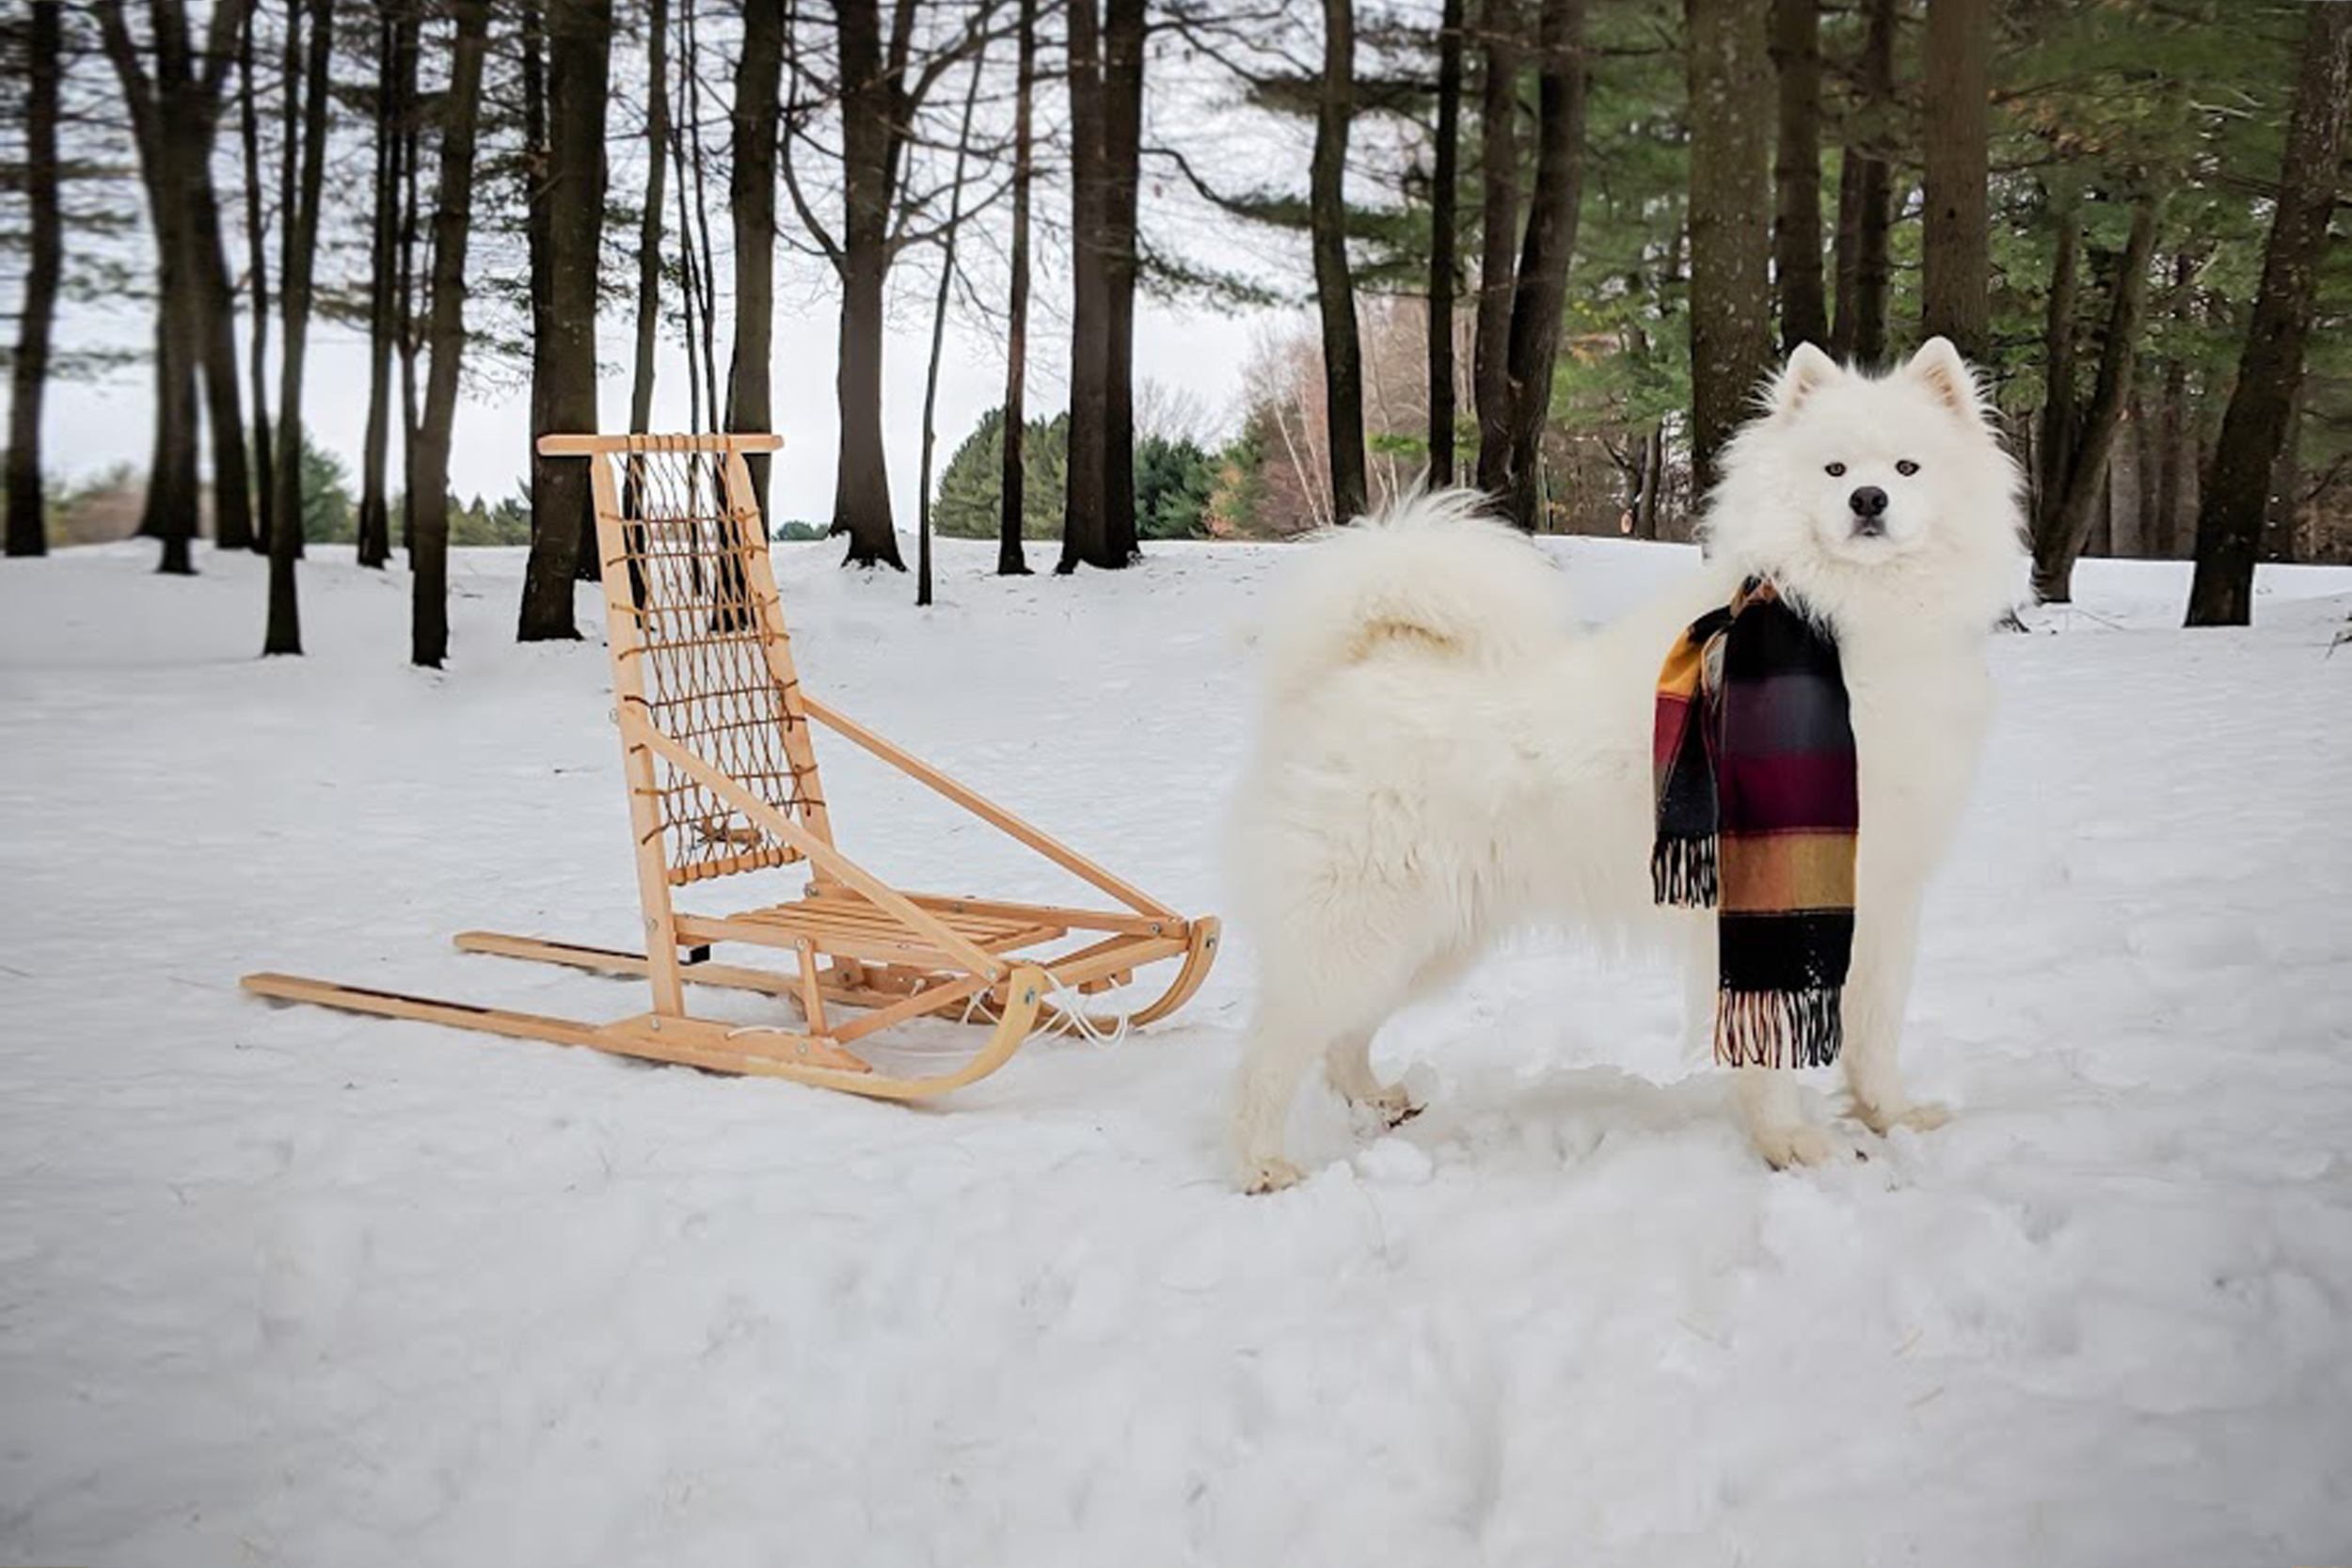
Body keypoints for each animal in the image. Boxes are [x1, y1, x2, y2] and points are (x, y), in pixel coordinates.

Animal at [1232, 331, 2023, 1189]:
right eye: (1835, 469)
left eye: (1907, 468)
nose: (1869, 501)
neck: (1848, 622)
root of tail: (1357, 664)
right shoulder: (1761, 897)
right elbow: (1771, 1049)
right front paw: (1790, 1144)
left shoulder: (1882, 897)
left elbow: (1876, 1032)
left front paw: (1893, 1117)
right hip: (1358, 927)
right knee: (1271, 1048)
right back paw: (1264, 1163)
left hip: (1431, 938)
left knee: (1341, 1037)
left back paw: (1378, 1100)